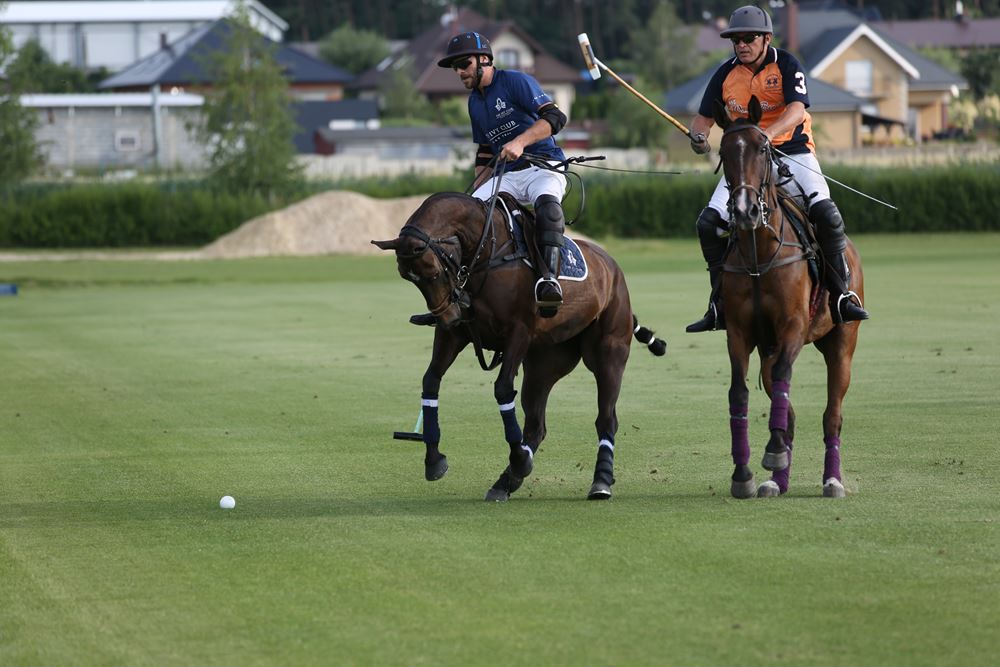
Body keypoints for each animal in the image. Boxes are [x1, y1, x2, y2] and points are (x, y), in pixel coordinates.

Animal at [372, 191, 665, 501]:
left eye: (432, 270)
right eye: (407, 276)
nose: (448, 316)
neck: (484, 254)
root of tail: (613, 267)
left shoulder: (518, 332)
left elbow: (502, 389)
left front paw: (520, 460)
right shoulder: (455, 335)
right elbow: (430, 382)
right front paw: (434, 459)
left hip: (609, 352)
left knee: (606, 418)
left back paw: (600, 481)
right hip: (543, 365)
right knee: (536, 425)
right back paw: (507, 480)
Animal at [713, 97, 863, 499]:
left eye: (763, 148)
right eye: (723, 152)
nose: (745, 211)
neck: (759, 255)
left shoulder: (794, 325)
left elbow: (785, 378)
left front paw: (773, 453)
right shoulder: (739, 333)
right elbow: (739, 393)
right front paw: (744, 474)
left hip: (841, 344)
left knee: (832, 415)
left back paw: (832, 480)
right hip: (769, 347)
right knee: (788, 408)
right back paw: (776, 480)